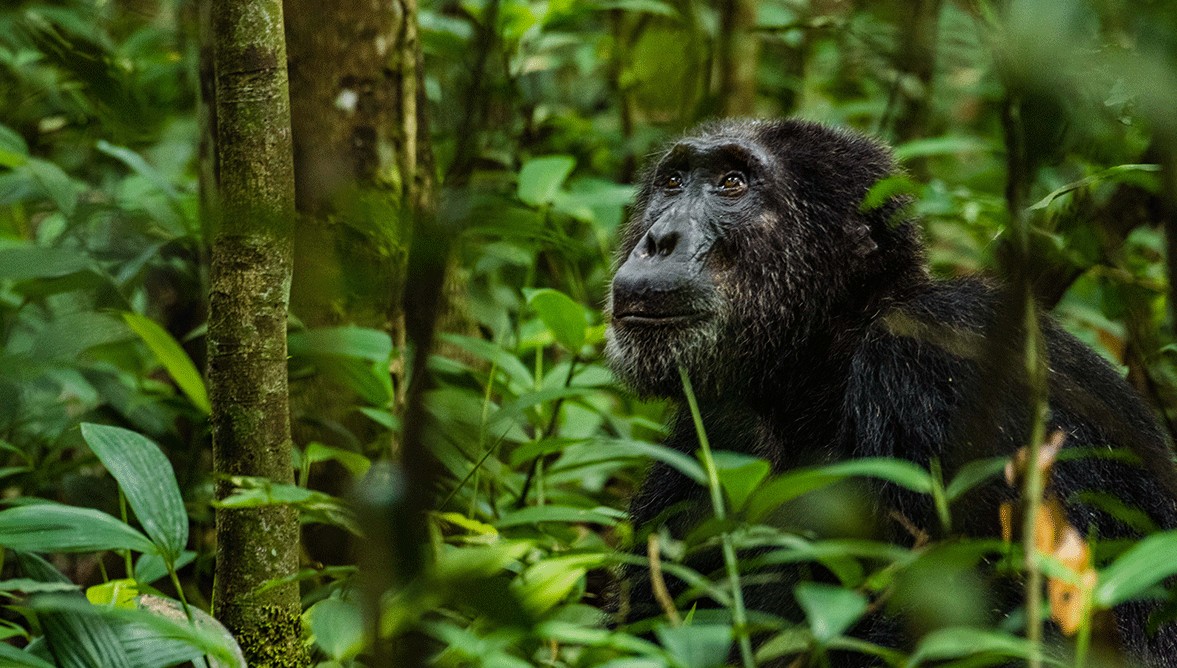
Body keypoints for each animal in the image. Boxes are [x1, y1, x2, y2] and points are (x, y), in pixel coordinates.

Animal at [605, 118, 1177, 665]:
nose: (659, 239)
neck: (819, 367)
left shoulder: (937, 367)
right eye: (673, 182)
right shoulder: (709, 435)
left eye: (731, 183)